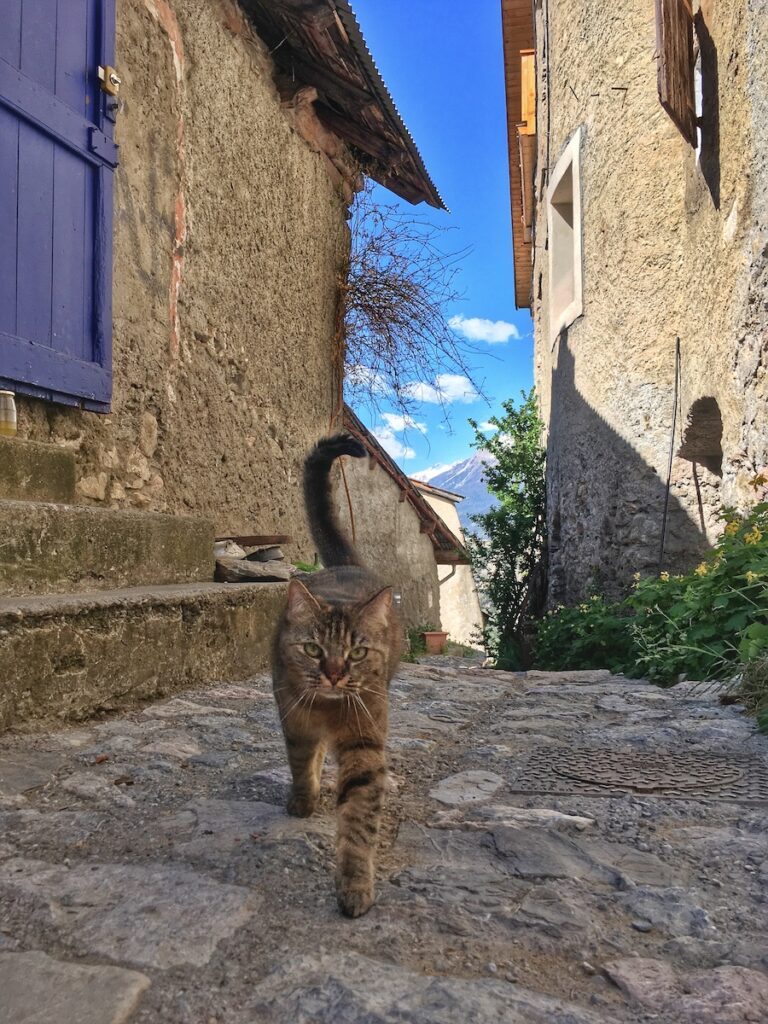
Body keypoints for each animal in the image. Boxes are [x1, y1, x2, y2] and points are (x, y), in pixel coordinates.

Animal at [272, 436, 403, 917]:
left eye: (357, 652)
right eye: (313, 649)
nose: (332, 674)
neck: (327, 712)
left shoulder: (365, 740)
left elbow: (359, 818)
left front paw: (355, 883)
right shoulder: (294, 720)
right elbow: (300, 763)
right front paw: (303, 799)